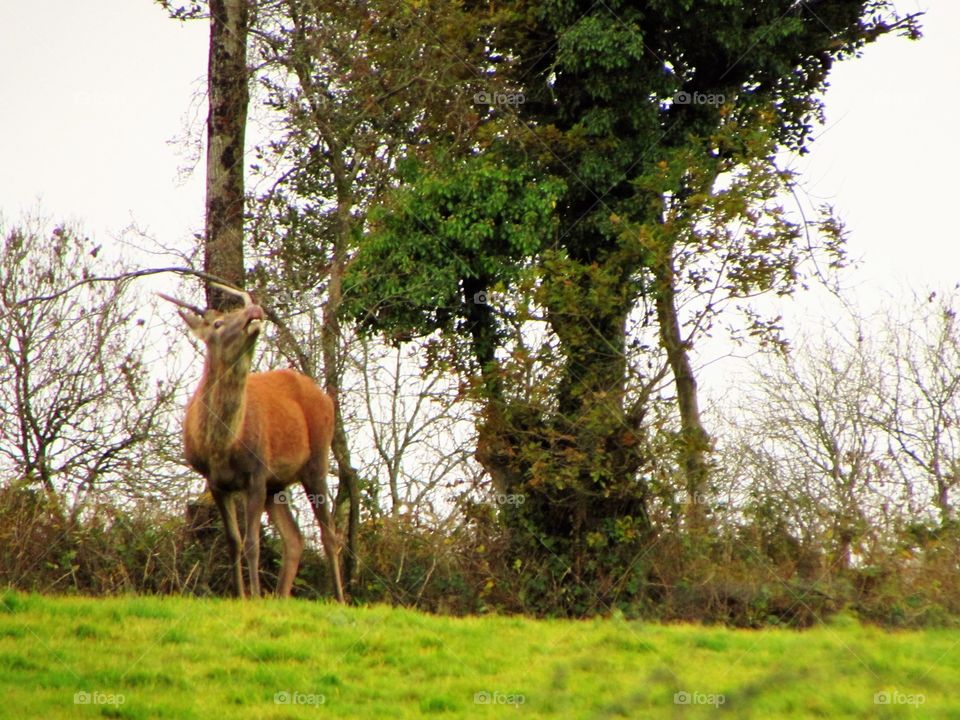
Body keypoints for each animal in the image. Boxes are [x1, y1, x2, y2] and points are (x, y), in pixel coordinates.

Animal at [160, 282, 344, 600]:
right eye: (218, 324)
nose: (254, 310)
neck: (221, 446)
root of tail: (324, 396)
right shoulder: (215, 482)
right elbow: (233, 542)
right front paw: (241, 595)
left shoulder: (256, 473)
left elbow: (252, 543)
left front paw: (255, 596)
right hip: (277, 484)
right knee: (294, 538)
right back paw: (281, 597)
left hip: (317, 459)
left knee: (329, 534)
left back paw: (340, 598)